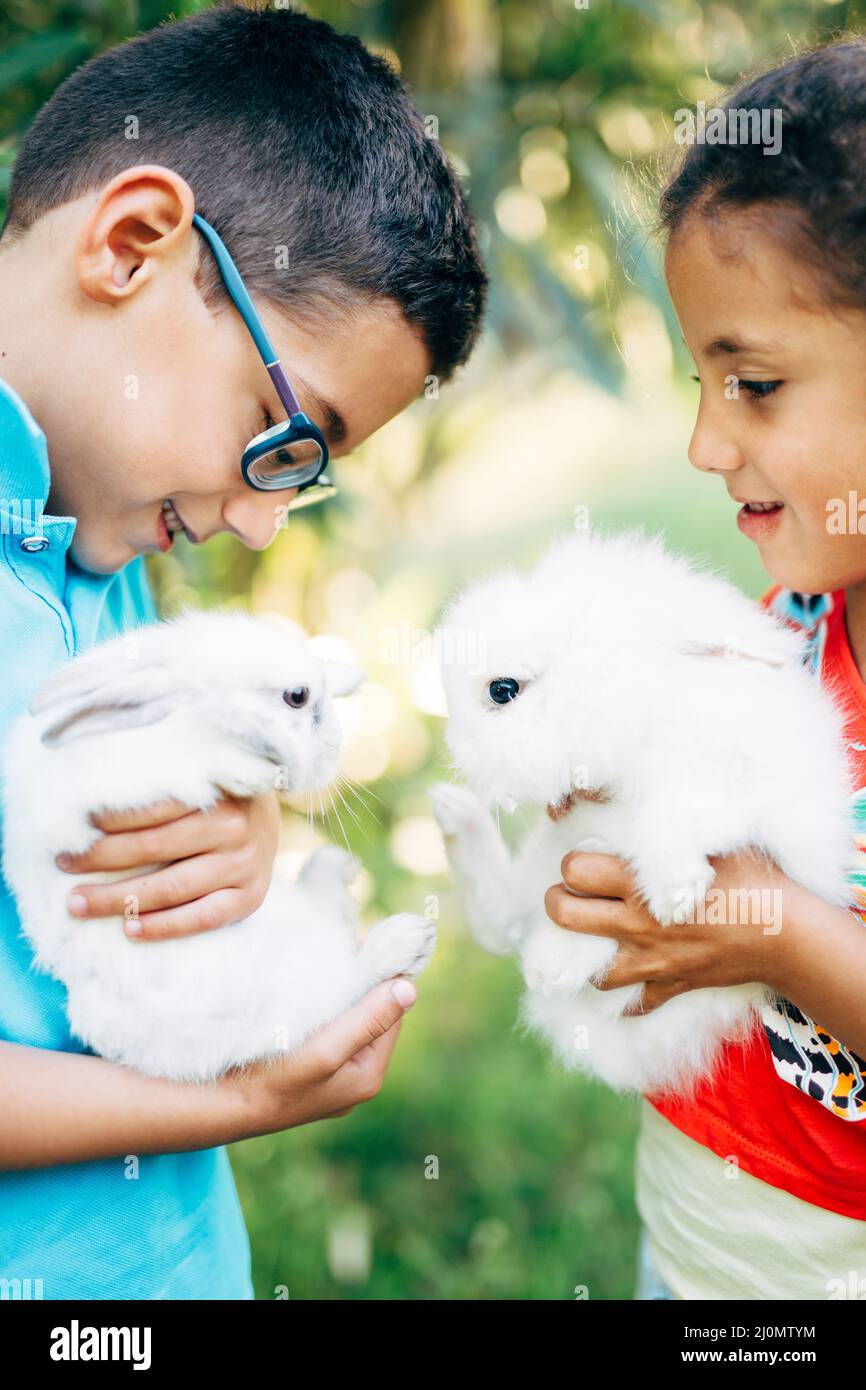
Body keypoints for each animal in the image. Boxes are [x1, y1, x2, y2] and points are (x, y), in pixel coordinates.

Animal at [3, 611, 436, 1084]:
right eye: (297, 697)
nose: (334, 747)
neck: (188, 721)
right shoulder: (122, 782)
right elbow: (192, 765)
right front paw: (252, 773)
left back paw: (334, 868)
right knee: (333, 994)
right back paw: (406, 938)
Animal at [428, 528, 856, 1095]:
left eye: (502, 690)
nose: (455, 748)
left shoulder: (743, 789)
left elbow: (676, 813)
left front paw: (673, 893)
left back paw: (549, 962)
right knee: (501, 919)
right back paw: (452, 813)